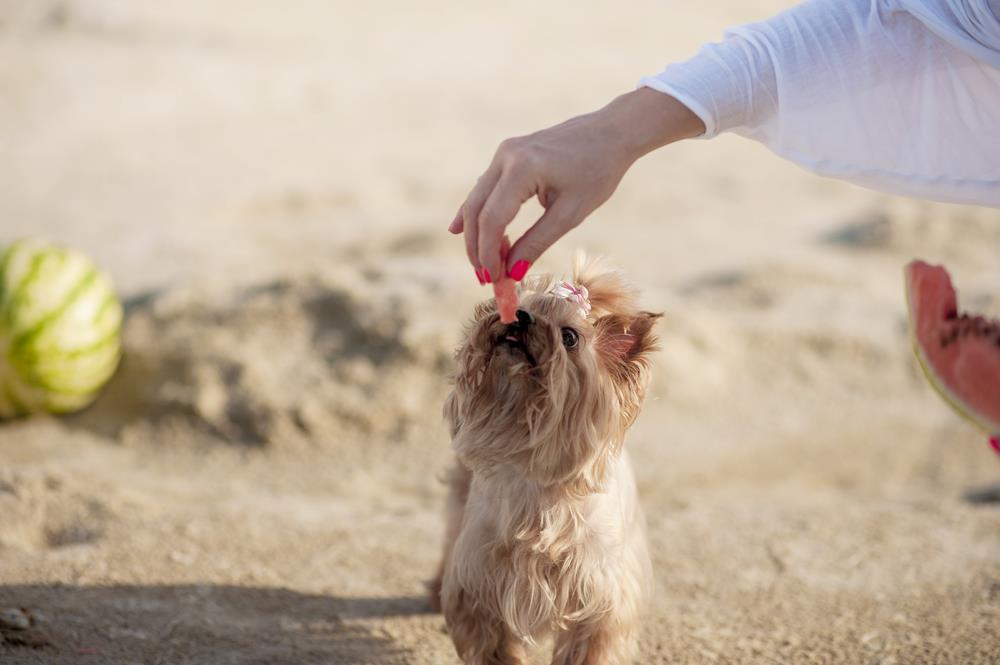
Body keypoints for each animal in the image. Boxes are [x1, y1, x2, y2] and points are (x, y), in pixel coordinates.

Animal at [428, 258, 656, 664]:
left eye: (570, 337)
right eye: (512, 304)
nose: (519, 316)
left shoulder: (599, 603)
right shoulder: (481, 588)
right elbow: (494, 647)